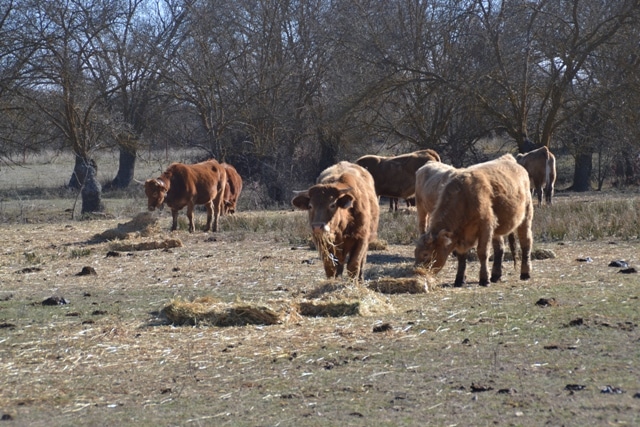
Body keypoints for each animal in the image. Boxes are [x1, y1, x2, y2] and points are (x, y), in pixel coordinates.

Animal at [412, 154, 532, 288]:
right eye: (415, 253)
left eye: (426, 254)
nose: (417, 272)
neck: (464, 197)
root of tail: (509, 159)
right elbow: (461, 255)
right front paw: (459, 279)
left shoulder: (485, 227)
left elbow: (482, 253)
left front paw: (484, 279)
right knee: (499, 249)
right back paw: (496, 275)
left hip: (526, 217)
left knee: (526, 242)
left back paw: (525, 273)